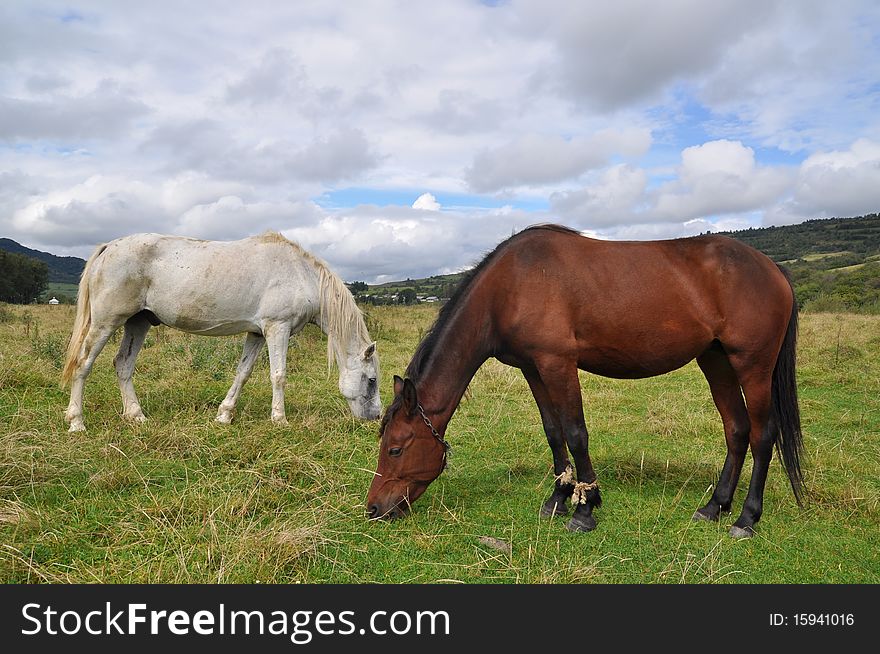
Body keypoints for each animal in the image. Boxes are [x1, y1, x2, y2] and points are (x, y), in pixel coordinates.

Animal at [61, 233, 378, 434]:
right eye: (372, 380)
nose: (374, 417)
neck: (302, 275)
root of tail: (109, 247)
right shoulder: (278, 328)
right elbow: (279, 375)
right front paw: (279, 419)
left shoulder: (257, 334)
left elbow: (243, 373)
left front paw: (224, 415)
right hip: (106, 322)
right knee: (83, 364)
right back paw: (77, 422)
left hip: (138, 323)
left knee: (123, 365)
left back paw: (136, 415)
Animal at [368, 223, 808, 540]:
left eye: (395, 449)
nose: (373, 508)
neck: (511, 286)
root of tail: (774, 269)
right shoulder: (533, 368)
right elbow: (553, 432)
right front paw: (559, 498)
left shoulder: (558, 364)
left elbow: (576, 433)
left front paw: (585, 508)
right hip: (715, 361)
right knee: (736, 430)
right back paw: (715, 507)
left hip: (752, 365)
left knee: (761, 435)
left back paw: (747, 518)